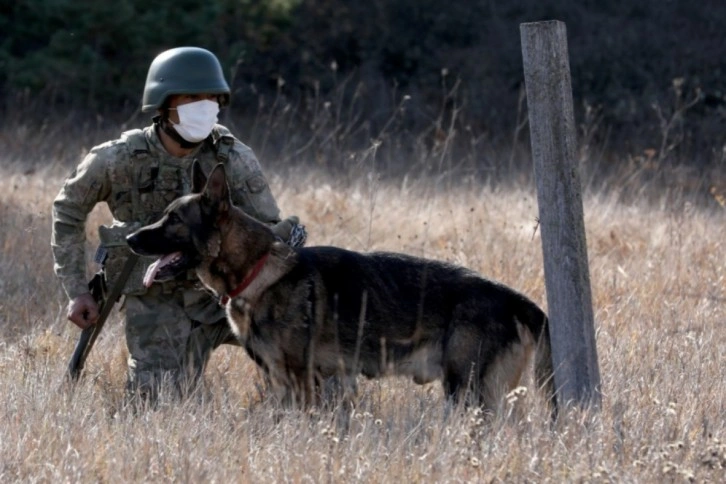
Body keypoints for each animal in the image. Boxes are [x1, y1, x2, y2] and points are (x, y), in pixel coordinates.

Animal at [128, 164, 556, 414]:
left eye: (174, 220)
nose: (130, 238)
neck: (258, 270)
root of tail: (518, 301)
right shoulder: (285, 382)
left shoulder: (301, 381)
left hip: (469, 395)